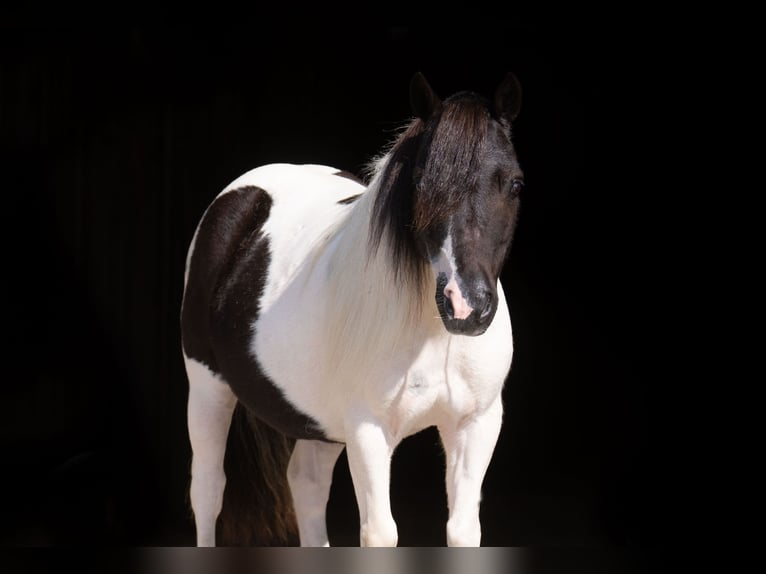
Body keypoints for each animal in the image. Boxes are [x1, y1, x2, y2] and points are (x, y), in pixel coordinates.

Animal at [180, 71, 524, 547]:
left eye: (514, 184)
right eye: (422, 183)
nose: (466, 306)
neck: (433, 333)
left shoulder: (476, 424)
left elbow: (462, 531)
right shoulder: (368, 430)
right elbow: (380, 532)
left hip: (318, 420)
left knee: (305, 484)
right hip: (206, 385)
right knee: (209, 491)